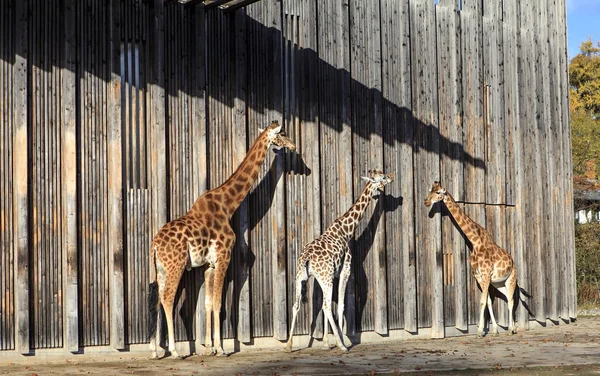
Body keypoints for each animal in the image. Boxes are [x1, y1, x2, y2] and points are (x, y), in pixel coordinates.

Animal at [146, 120, 294, 358]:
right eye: (282, 133)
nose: (293, 146)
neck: (227, 206)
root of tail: (155, 245)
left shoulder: (209, 265)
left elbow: (208, 303)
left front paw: (208, 348)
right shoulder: (224, 258)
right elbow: (218, 303)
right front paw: (221, 348)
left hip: (160, 268)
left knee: (157, 298)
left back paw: (153, 350)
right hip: (176, 265)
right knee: (168, 298)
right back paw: (175, 351)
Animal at [284, 170, 394, 352]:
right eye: (383, 177)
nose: (391, 177)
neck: (346, 230)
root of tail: (306, 258)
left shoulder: (325, 278)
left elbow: (324, 306)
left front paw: (327, 342)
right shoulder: (344, 271)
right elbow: (341, 305)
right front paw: (340, 340)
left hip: (301, 278)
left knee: (297, 305)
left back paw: (288, 345)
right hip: (325, 278)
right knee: (328, 306)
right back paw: (342, 345)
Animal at [424, 181, 516, 336]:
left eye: (438, 193)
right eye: (430, 190)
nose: (426, 202)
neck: (475, 242)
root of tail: (514, 264)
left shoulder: (485, 274)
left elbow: (482, 301)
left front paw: (479, 331)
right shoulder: (479, 276)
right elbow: (487, 301)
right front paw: (493, 330)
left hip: (511, 279)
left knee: (511, 300)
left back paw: (511, 329)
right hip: (498, 284)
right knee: (509, 298)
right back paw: (513, 327)